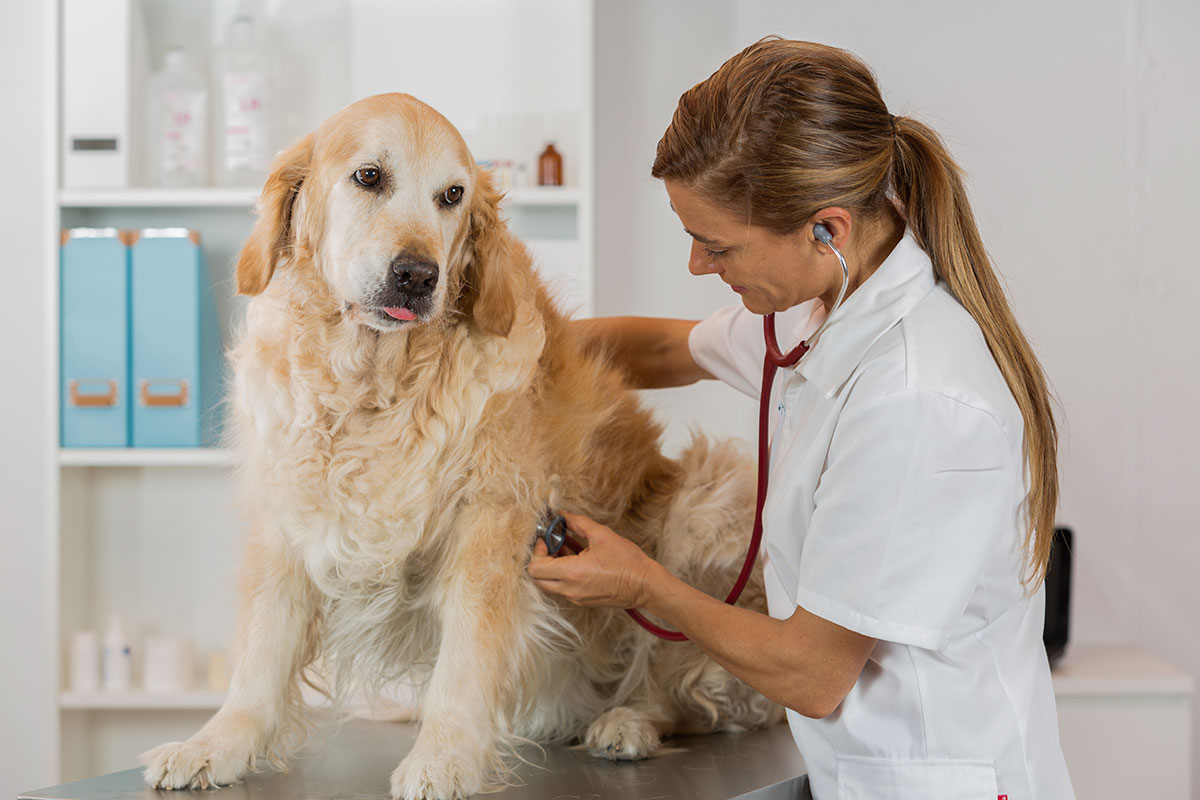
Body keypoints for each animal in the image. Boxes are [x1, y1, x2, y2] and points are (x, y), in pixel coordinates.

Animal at [140, 95, 777, 800]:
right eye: (369, 177)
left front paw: (445, 755)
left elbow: (468, 650)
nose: (418, 275)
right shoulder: (289, 513)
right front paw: (218, 744)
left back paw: (630, 721)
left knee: (689, 686)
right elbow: (261, 648)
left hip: (710, 495)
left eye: (452, 195)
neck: (371, 386)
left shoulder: (493, 517)